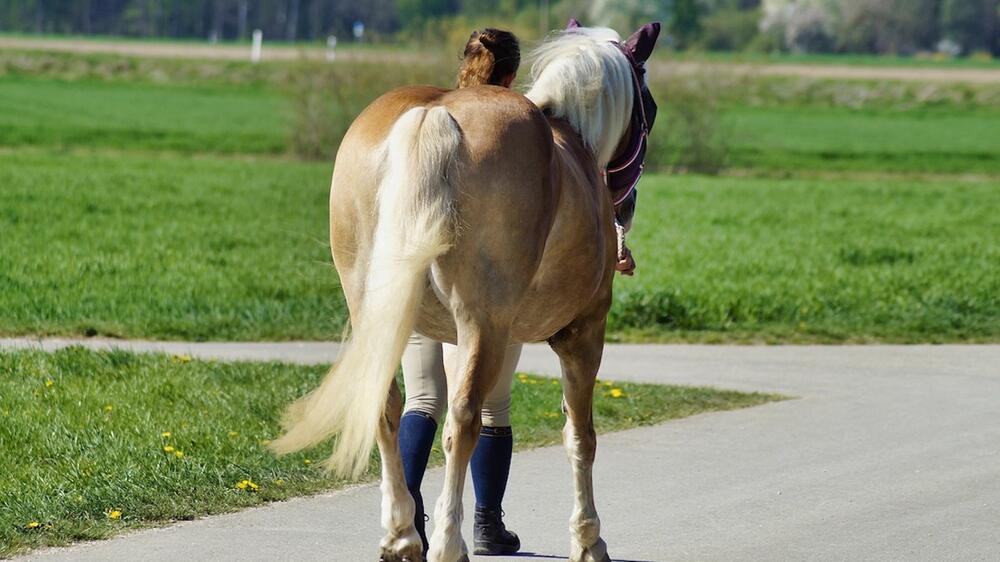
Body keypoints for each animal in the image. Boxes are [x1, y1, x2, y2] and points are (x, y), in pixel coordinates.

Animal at [272, 21, 664, 560]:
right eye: (651, 105)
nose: (629, 207)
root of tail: (434, 114)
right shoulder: (583, 334)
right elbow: (579, 436)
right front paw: (588, 539)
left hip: (387, 315)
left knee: (390, 407)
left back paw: (403, 534)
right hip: (485, 325)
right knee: (463, 422)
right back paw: (447, 542)